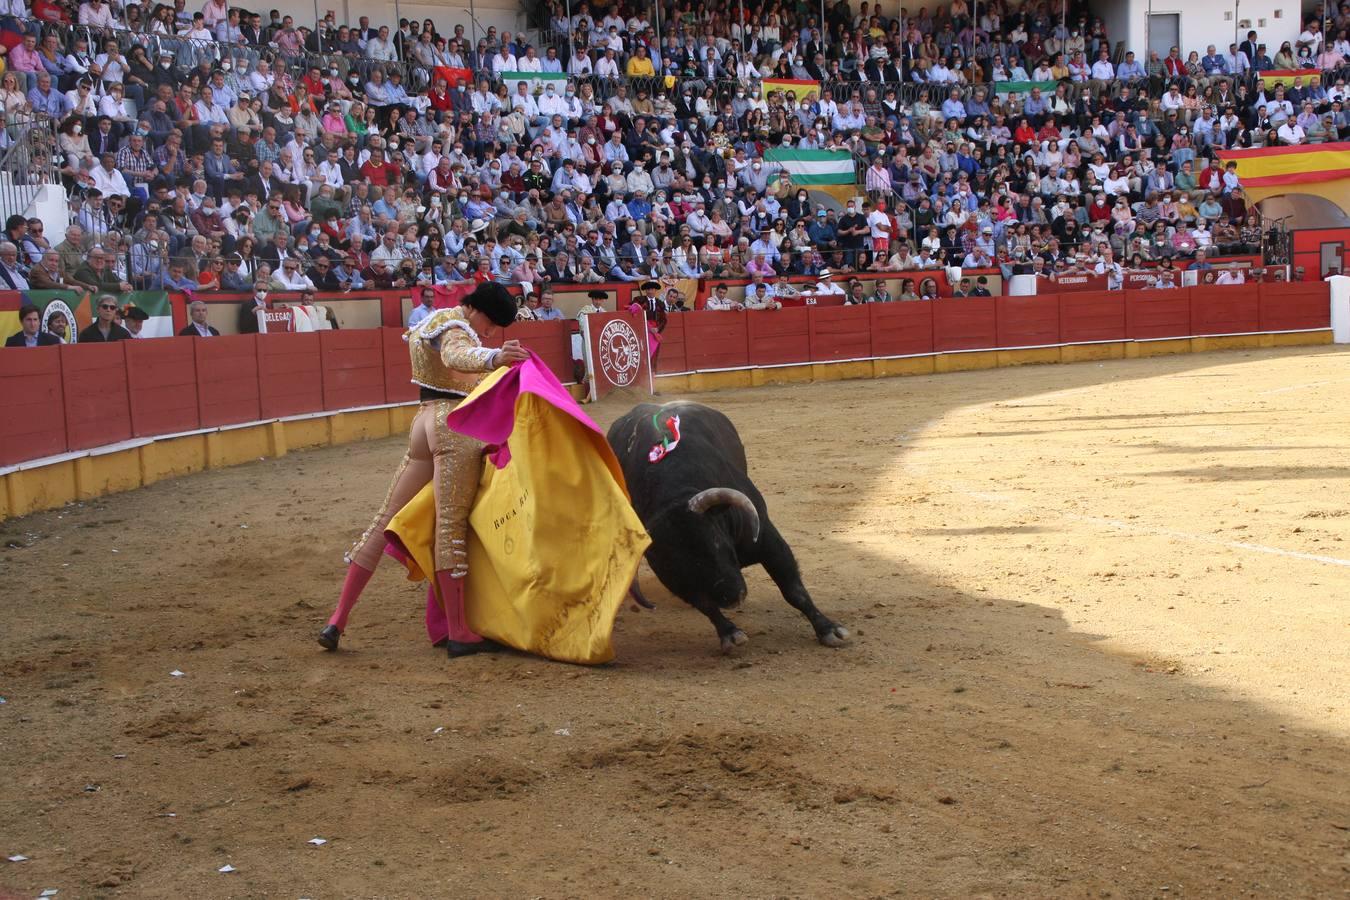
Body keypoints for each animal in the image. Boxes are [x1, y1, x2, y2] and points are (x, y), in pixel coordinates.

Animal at [607, 404, 847, 650]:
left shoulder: (768, 540)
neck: (672, 495)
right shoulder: (678, 581)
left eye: (716, 541)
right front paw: (730, 634)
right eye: (671, 563)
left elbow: (793, 589)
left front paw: (829, 629)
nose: (731, 597)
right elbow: (705, 605)